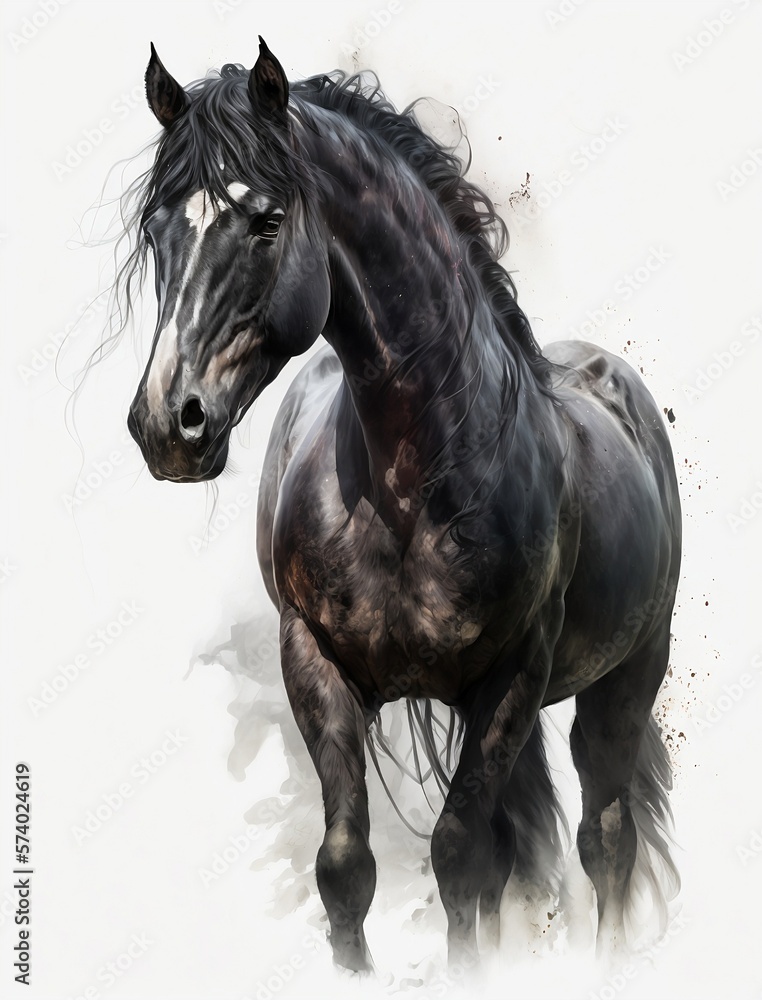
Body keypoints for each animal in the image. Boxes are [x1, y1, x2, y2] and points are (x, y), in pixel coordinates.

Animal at [125, 38, 682, 972]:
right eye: (156, 229)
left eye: (266, 220)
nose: (169, 423)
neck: (407, 487)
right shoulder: (315, 663)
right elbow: (347, 869)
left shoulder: (512, 676)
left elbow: (460, 859)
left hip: (625, 679)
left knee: (606, 841)